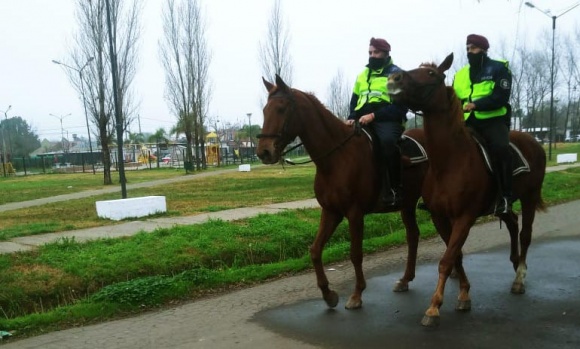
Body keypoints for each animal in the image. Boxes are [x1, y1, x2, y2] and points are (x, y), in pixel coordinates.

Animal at [256, 75, 428, 308]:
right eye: (265, 110)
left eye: (282, 109)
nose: (263, 152)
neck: (336, 157)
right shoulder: (331, 212)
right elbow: (315, 250)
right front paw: (328, 294)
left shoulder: (354, 214)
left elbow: (355, 254)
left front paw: (356, 294)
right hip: (407, 205)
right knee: (413, 235)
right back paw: (405, 279)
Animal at [388, 53, 548, 324]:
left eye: (431, 74)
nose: (393, 78)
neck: (449, 162)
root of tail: (534, 141)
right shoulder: (440, 217)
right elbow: (456, 256)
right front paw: (463, 294)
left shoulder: (465, 217)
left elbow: (447, 259)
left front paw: (434, 307)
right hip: (504, 204)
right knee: (512, 222)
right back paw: (514, 262)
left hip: (530, 196)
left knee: (525, 234)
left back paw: (519, 277)